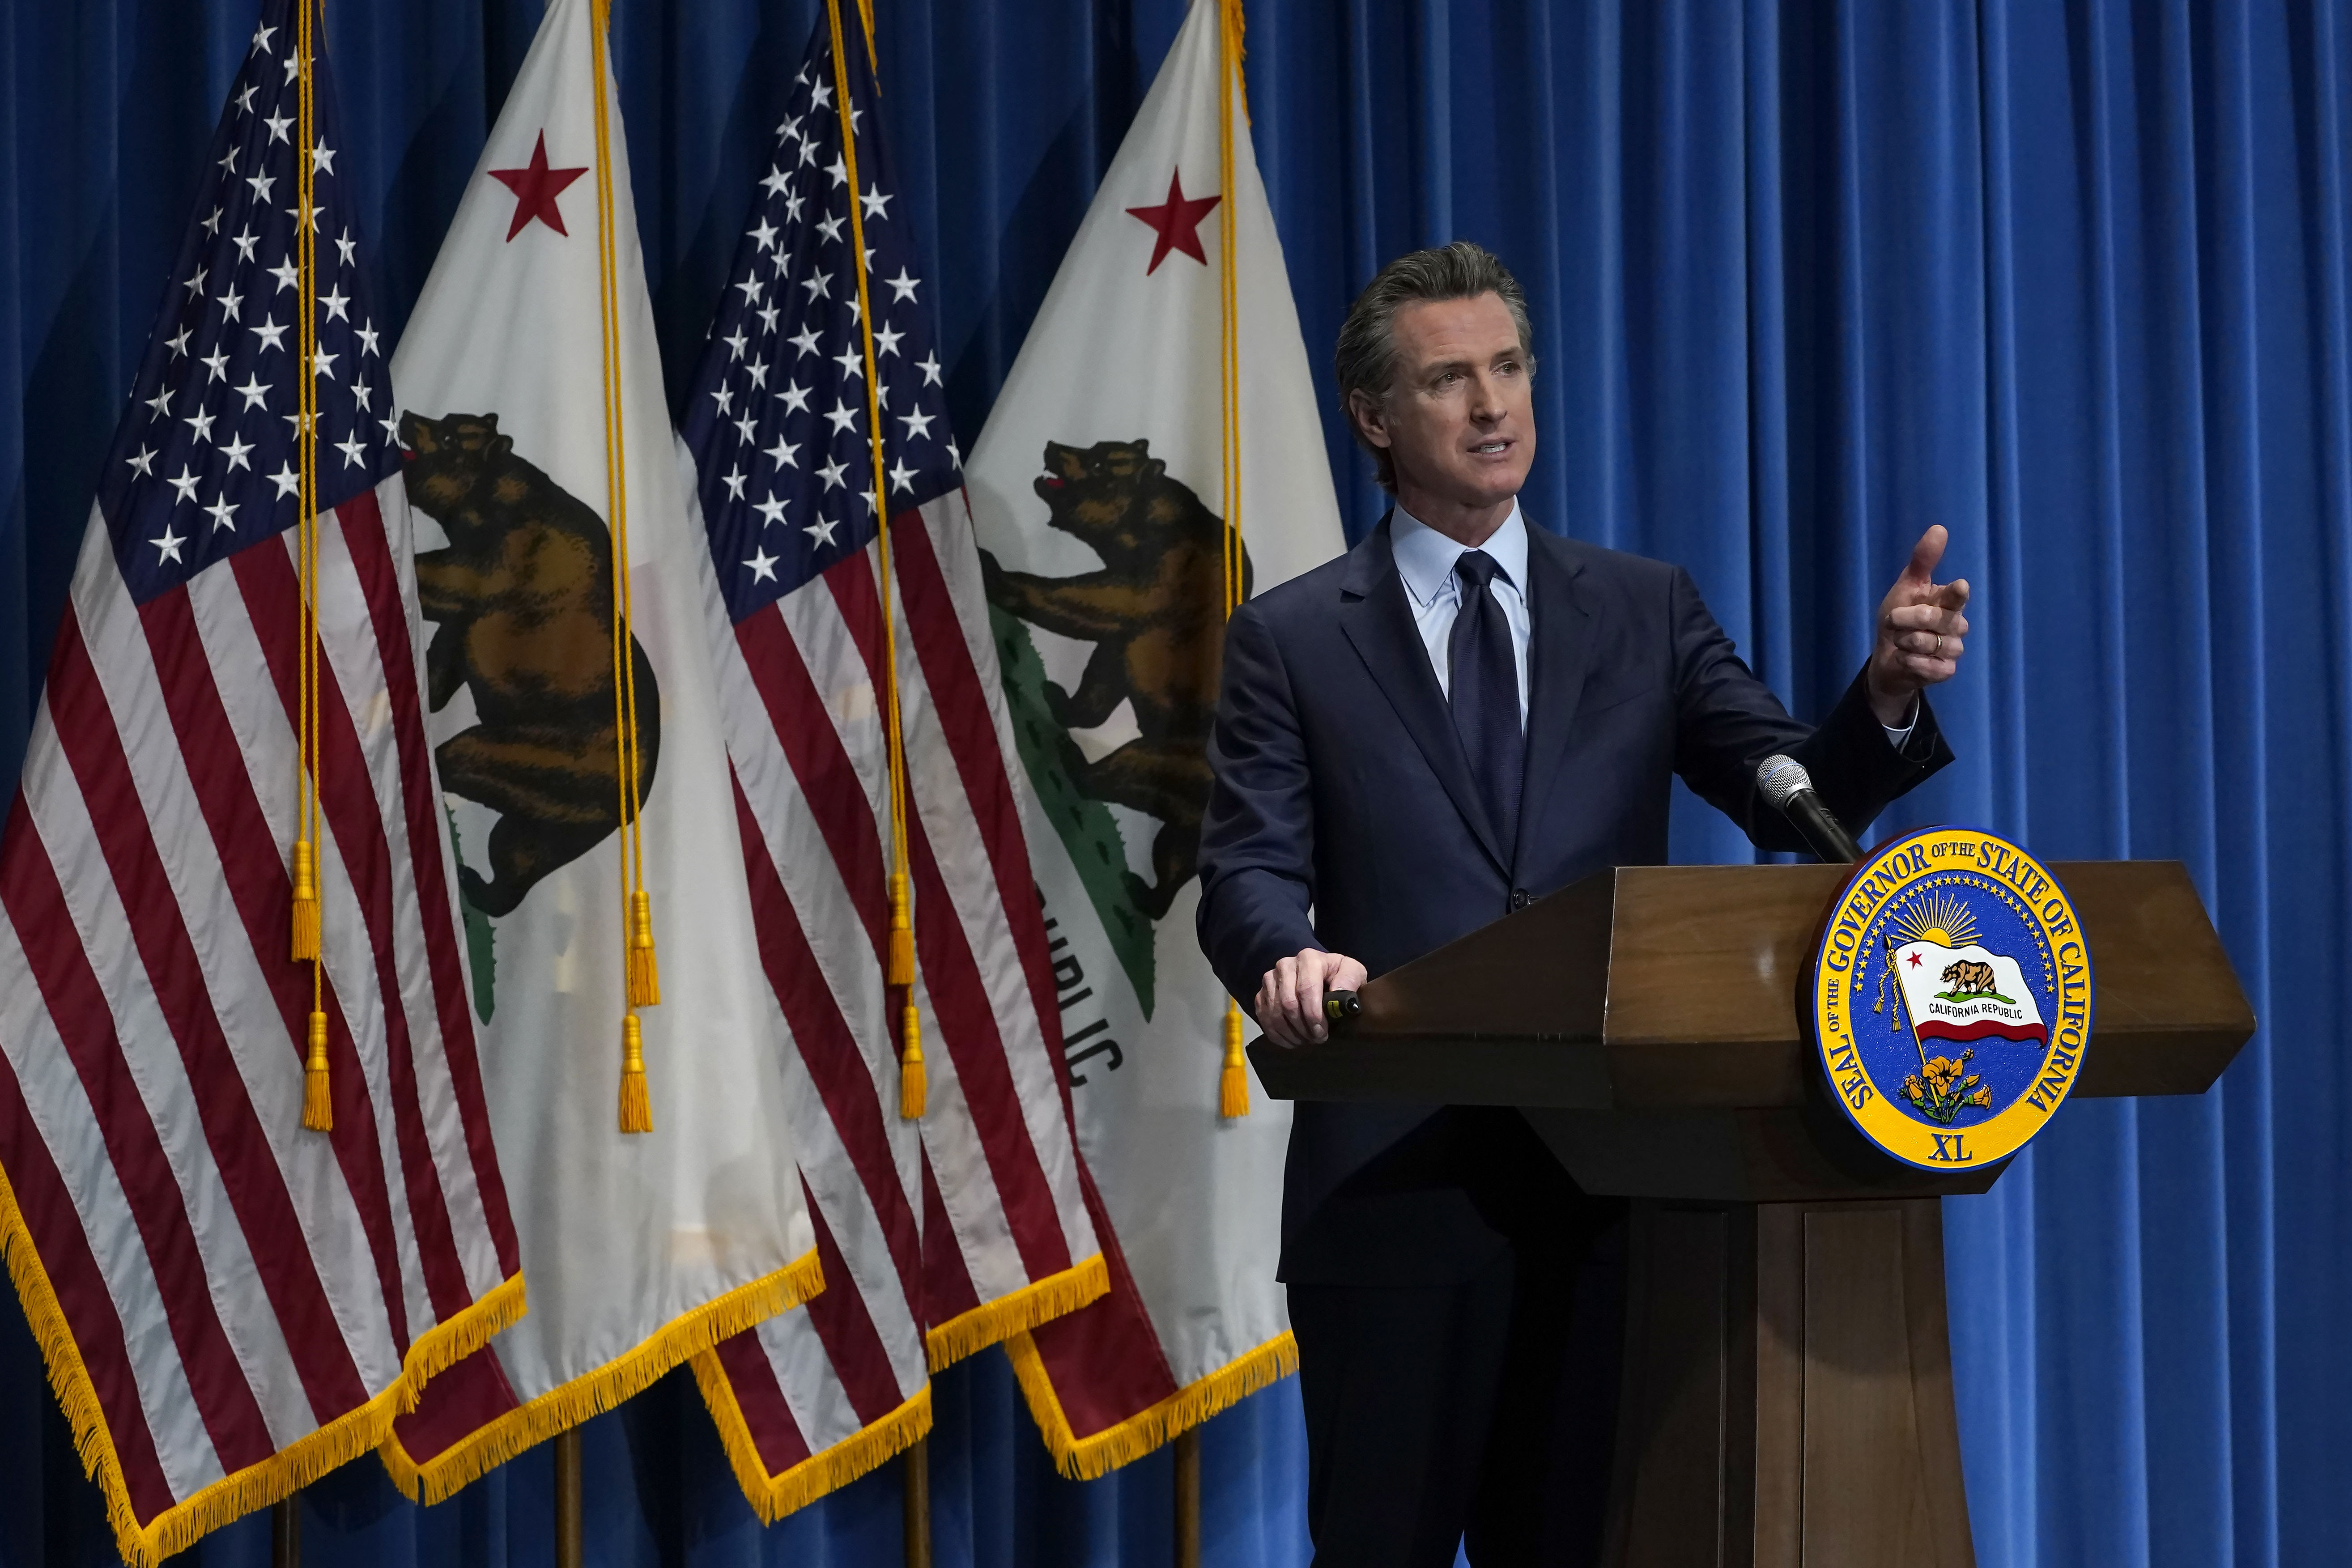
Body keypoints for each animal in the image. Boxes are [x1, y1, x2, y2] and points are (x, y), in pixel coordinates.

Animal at [404, 411, 658, 921]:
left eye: (449, 436)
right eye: (447, 420)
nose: (405, 417)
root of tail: (636, 795)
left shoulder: (510, 561)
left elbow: (449, 577)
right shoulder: (469, 621)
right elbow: (445, 661)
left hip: (551, 754)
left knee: (468, 756)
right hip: (561, 813)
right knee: (519, 849)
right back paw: (479, 885)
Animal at [983, 435, 1251, 926]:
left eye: (1099, 464)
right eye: (1096, 448)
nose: (1052, 446)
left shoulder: (1166, 575)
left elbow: (1088, 601)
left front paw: (995, 572)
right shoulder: (1131, 628)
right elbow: (1105, 668)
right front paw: (1063, 698)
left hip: (1181, 756)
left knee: (1128, 766)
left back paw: (1074, 760)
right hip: (1195, 817)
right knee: (1174, 855)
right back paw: (1143, 892)